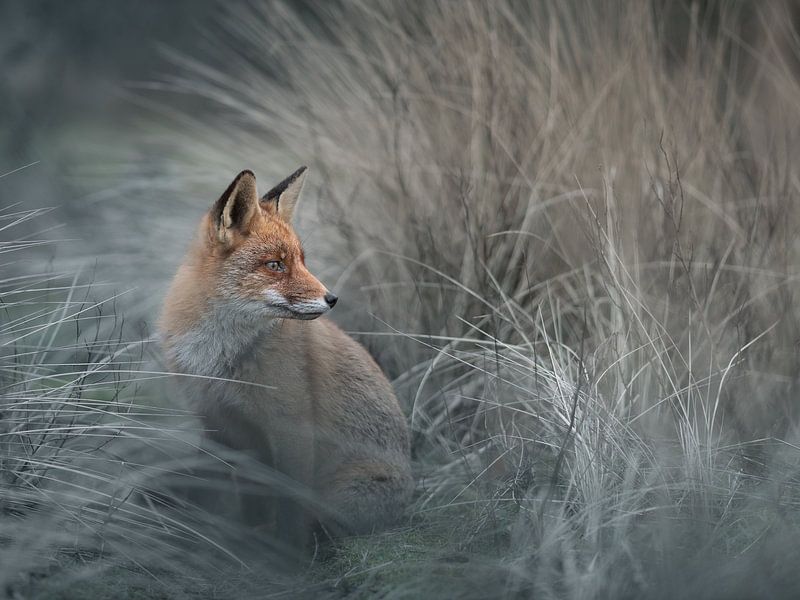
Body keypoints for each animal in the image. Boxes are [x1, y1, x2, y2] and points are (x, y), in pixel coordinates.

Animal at [159, 167, 413, 550]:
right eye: (275, 265)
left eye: (302, 261)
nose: (332, 299)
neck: (221, 357)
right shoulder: (216, 421)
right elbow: (215, 492)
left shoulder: (293, 428)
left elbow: (291, 506)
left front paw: (287, 554)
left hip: (340, 495)